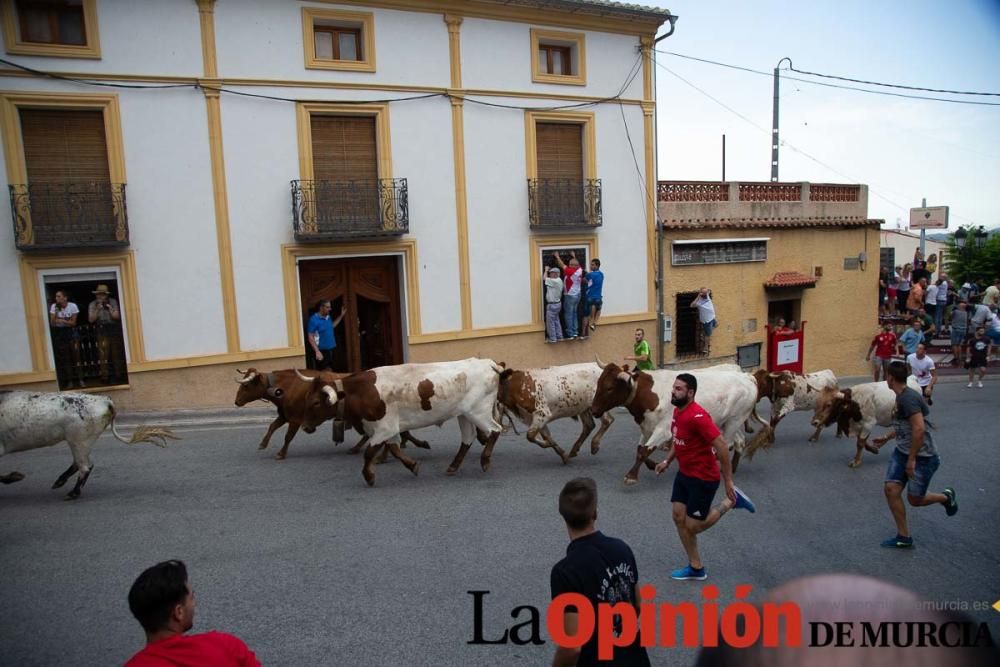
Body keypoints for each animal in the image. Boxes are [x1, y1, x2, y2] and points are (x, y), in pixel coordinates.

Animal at [235, 368, 430, 462]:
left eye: (246, 385)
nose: (236, 402)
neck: (288, 386)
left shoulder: (296, 419)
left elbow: (287, 436)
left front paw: (281, 454)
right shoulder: (285, 415)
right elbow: (272, 426)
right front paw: (263, 444)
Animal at [296, 360, 500, 486]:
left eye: (316, 402)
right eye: (306, 398)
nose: (304, 427)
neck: (362, 391)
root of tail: (488, 363)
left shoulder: (385, 428)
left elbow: (369, 452)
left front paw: (369, 476)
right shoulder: (388, 429)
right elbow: (394, 449)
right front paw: (412, 465)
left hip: (478, 411)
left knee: (495, 430)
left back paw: (485, 460)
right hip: (464, 414)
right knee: (468, 438)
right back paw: (454, 466)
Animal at [588, 366, 768, 486]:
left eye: (609, 388)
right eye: (598, 383)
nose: (594, 409)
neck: (647, 393)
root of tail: (747, 377)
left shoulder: (663, 430)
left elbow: (643, 451)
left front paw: (631, 476)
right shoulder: (647, 427)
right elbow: (640, 449)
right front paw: (653, 465)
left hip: (734, 420)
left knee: (729, 443)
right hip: (728, 422)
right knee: (739, 442)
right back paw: (730, 469)